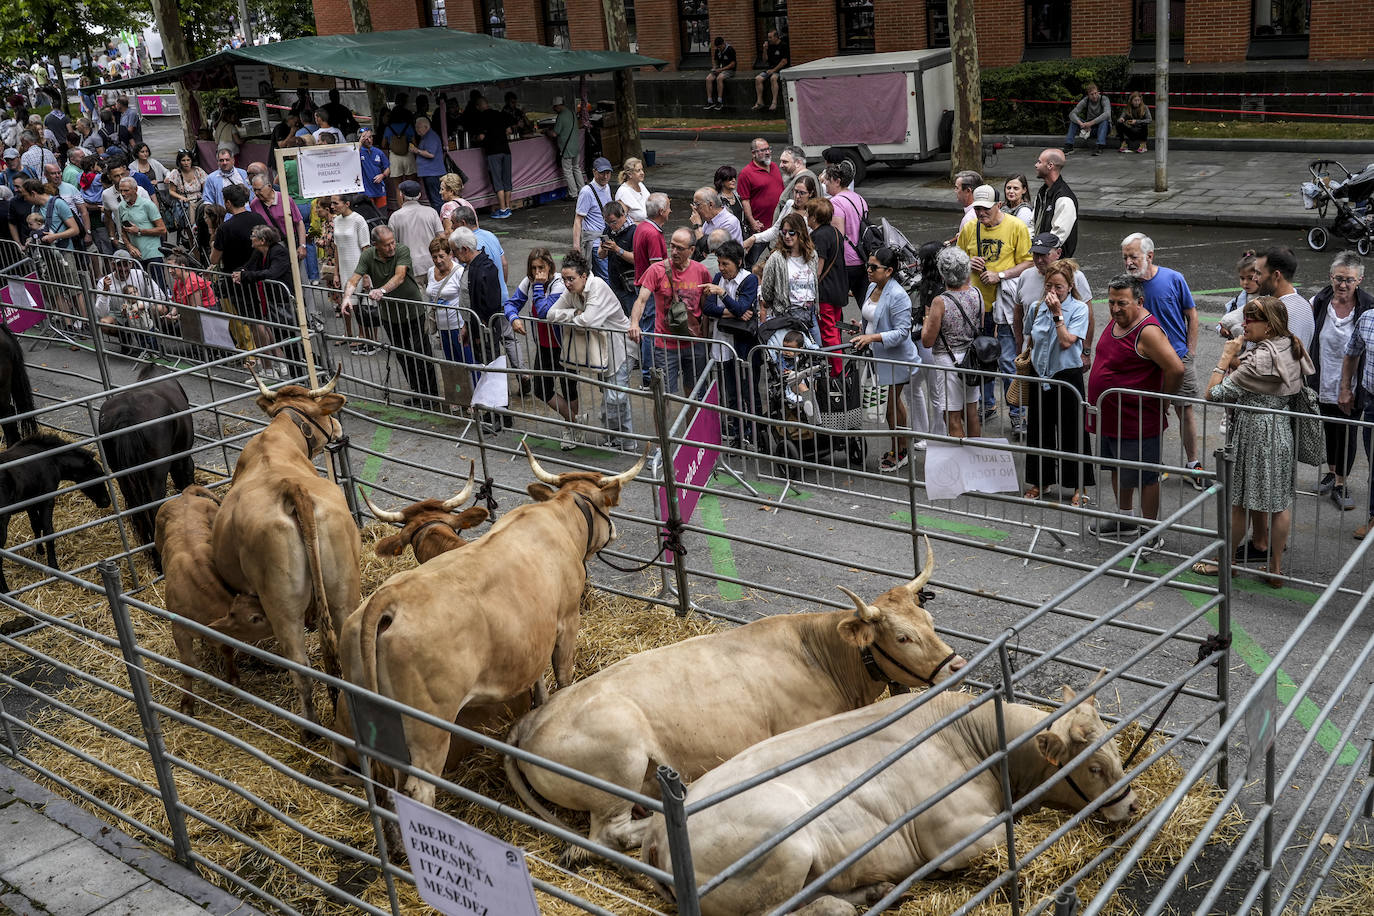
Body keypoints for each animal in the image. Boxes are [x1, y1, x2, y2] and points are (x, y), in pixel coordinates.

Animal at [0, 436, 109, 596]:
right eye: (98, 474)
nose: (106, 501)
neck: (52, 460)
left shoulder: (31, 503)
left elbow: (36, 526)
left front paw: (39, 551)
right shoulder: (47, 500)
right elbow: (48, 531)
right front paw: (54, 567)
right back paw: (6, 591)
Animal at [98, 362, 196, 568]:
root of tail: (127, 416)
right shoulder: (182, 457)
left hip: (123, 477)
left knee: (138, 510)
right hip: (155, 475)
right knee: (153, 506)